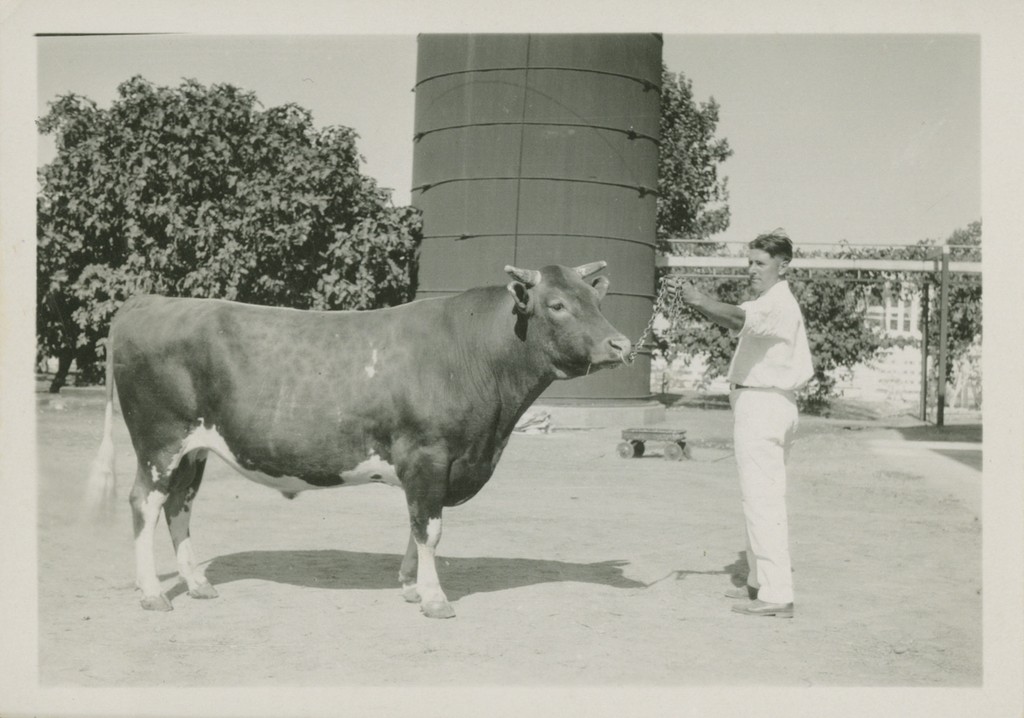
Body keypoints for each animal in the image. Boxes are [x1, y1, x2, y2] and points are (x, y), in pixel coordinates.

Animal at [87, 261, 631, 618]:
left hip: (195, 448)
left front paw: (411, 586)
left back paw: (198, 584)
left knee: (179, 505)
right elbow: (430, 528)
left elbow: (416, 525)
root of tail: (149, 300)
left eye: (597, 300)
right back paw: (152, 593)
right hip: (159, 440)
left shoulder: (432, 467)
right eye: (557, 305)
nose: (622, 344)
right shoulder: (430, 454)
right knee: (144, 503)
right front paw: (435, 598)